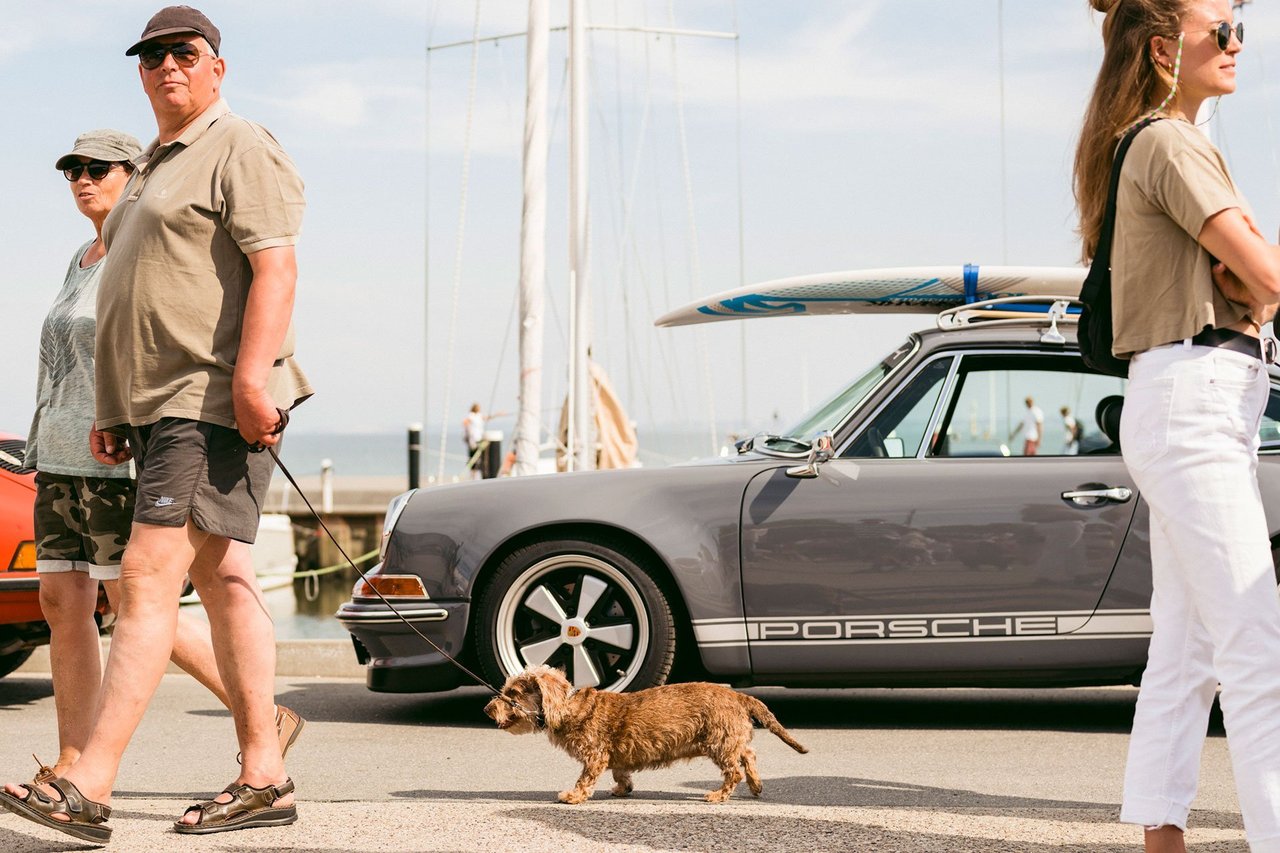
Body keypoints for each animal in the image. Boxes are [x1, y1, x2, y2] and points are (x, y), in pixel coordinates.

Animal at [483, 666, 803, 799]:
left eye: (512, 694)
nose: (487, 709)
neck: (569, 707)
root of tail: (739, 696)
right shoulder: (614, 757)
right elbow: (620, 773)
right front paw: (622, 789)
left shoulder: (594, 756)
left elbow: (585, 779)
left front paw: (572, 796)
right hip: (730, 739)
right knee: (748, 754)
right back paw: (756, 785)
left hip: (719, 743)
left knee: (734, 771)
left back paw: (718, 795)